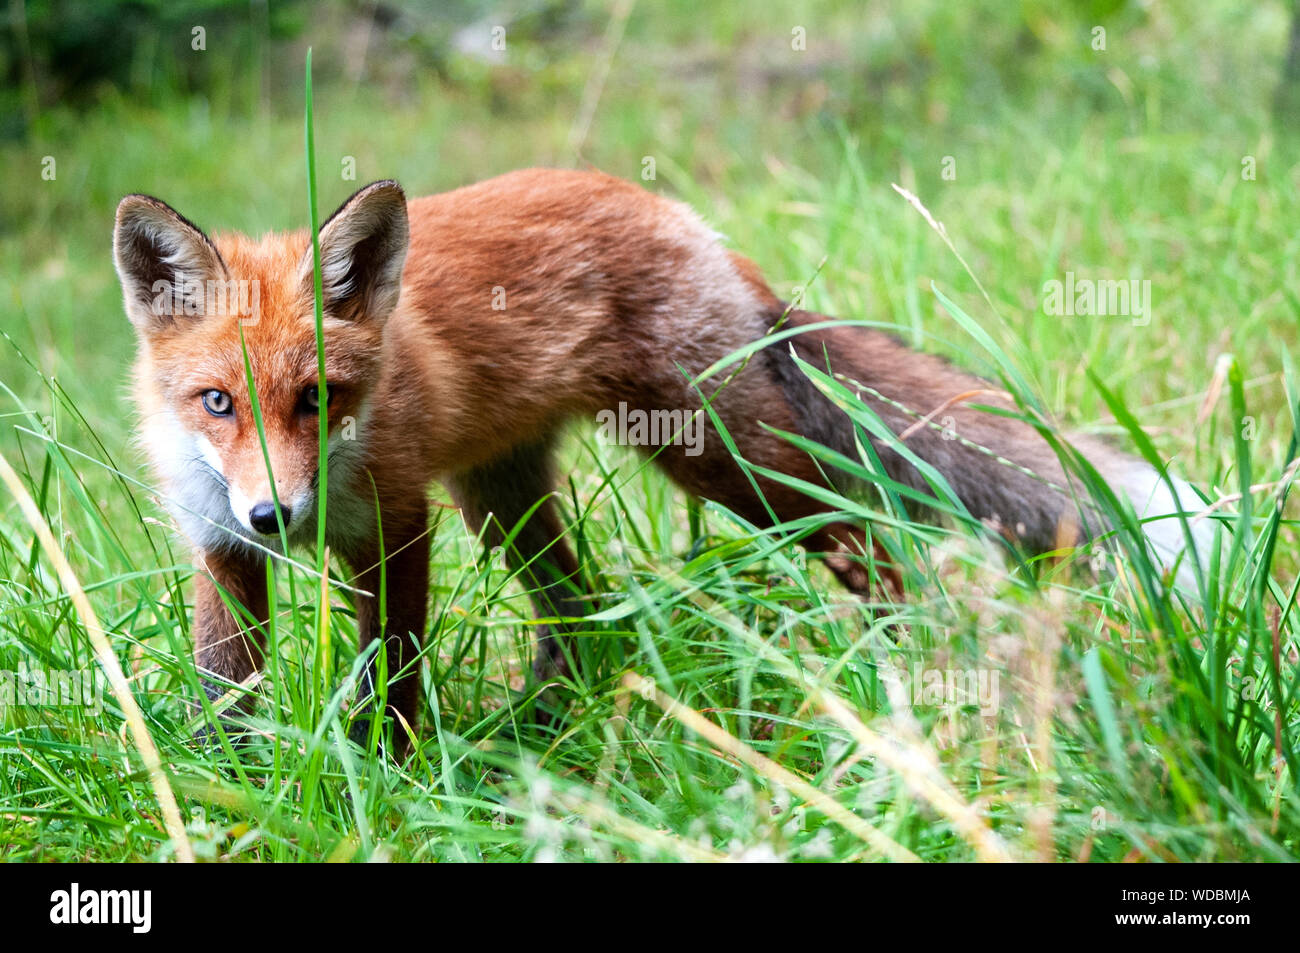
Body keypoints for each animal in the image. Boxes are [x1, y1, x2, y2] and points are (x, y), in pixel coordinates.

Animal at [113, 167, 1211, 748]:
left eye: (320, 398)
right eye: (217, 402)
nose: (278, 517)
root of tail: (682, 217)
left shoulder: (395, 525)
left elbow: (393, 673)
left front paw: (390, 771)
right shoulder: (218, 546)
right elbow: (224, 687)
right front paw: (229, 790)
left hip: (724, 460)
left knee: (864, 538)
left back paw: (901, 664)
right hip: (504, 497)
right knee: (577, 608)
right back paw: (546, 717)